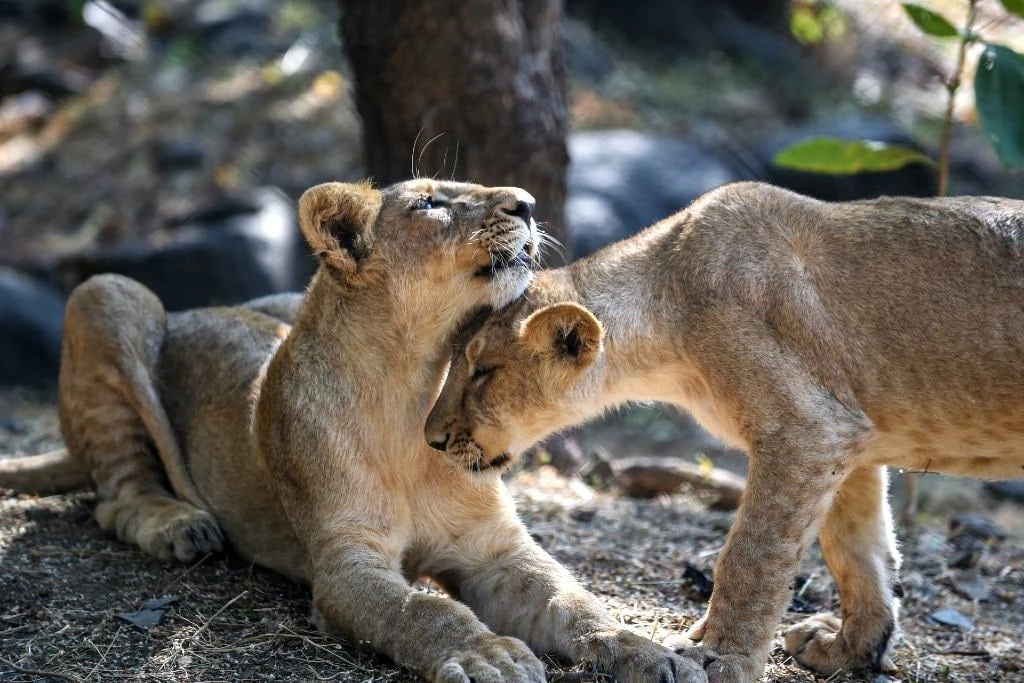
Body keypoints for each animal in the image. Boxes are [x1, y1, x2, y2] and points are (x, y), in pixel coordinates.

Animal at [0, 179, 700, 683]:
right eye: (430, 203)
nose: (527, 203)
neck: (412, 389)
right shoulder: (344, 563)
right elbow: (421, 607)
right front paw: (489, 655)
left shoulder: (493, 550)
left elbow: (571, 600)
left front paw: (649, 649)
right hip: (111, 292)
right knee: (116, 495)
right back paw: (178, 524)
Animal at [425, 181, 1024, 682]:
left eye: (483, 370)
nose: (430, 438)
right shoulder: (851, 433)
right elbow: (859, 549)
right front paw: (852, 649)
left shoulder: (808, 429)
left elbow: (751, 556)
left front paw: (720, 657)